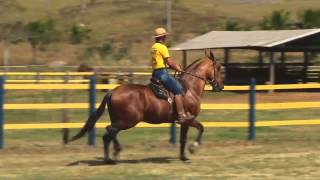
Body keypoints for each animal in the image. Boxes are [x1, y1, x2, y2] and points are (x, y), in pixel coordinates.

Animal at [71, 51, 224, 164]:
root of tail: (113, 91)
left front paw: (183, 157)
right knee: (110, 130)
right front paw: (193, 147)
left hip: (120, 120)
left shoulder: (184, 122)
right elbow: (201, 128)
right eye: (218, 68)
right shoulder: (189, 118)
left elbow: (183, 139)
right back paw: (116, 152)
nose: (221, 86)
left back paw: (109, 158)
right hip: (127, 121)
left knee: (108, 135)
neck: (189, 88)